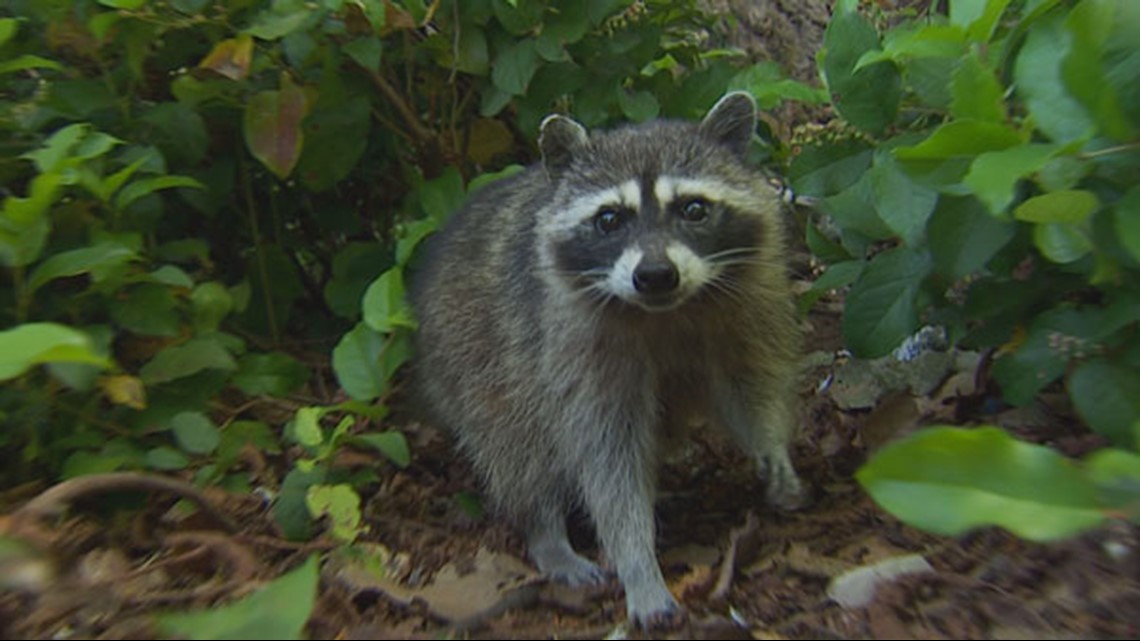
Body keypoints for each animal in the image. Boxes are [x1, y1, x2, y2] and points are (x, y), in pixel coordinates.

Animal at [408, 91, 802, 625]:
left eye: (694, 209)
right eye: (610, 219)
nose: (655, 275)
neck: (666, 311)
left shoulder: (746, 300)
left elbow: (748, 380)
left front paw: (769, 441)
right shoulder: (571, 347)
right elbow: (607, 460)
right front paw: (637, 563)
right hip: (473, 355)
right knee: (516, 445)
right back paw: (545, 532)